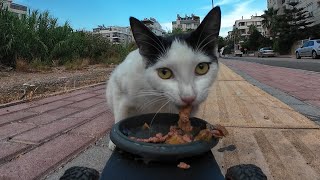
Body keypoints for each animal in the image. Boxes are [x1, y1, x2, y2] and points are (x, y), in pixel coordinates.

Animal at [106, 6, 221, 150]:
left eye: (202, 68)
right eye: (164, 73)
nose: (188, 98)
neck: (157, 95)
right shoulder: (119, 85)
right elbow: (120, 114)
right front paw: (113, 143)